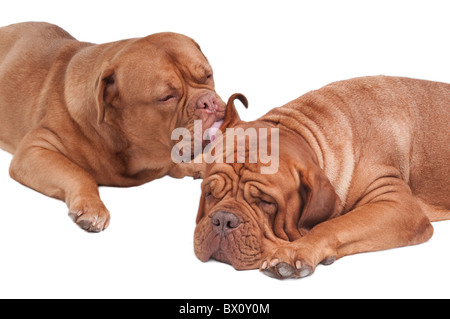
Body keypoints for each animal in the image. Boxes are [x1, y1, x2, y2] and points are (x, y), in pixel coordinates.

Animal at [0, 22, 230, 232]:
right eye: (167, 97)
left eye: (208, 76)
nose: (208, 101)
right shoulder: (34, 149)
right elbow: (77, 172)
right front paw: (93, 207)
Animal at [194, 77, 450, 280]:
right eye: (209, 193)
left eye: (267, 202)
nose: (223, 221)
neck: (307, 130)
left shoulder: (397, 203)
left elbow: (331, 224)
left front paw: (294, 252)